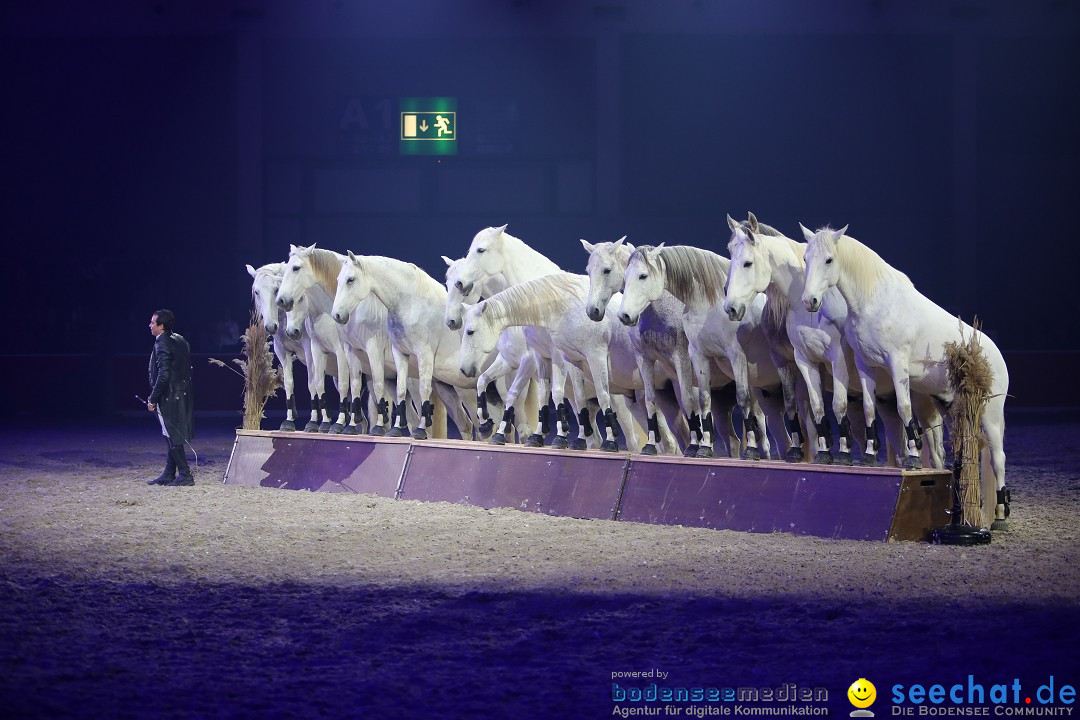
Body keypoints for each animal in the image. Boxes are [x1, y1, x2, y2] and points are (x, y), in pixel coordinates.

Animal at [799, 225, 1006, 528]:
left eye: (828, 260)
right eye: (805, 259)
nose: (809, 301)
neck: (876, 301)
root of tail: (996, 354)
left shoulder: (897, 364)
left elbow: (904, 408)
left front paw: (912, 459)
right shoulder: (865, 366)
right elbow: (869, 408)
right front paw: (870, 456)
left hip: (990, 415)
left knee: (998, 457)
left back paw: (1001, 515)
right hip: (952, 409)